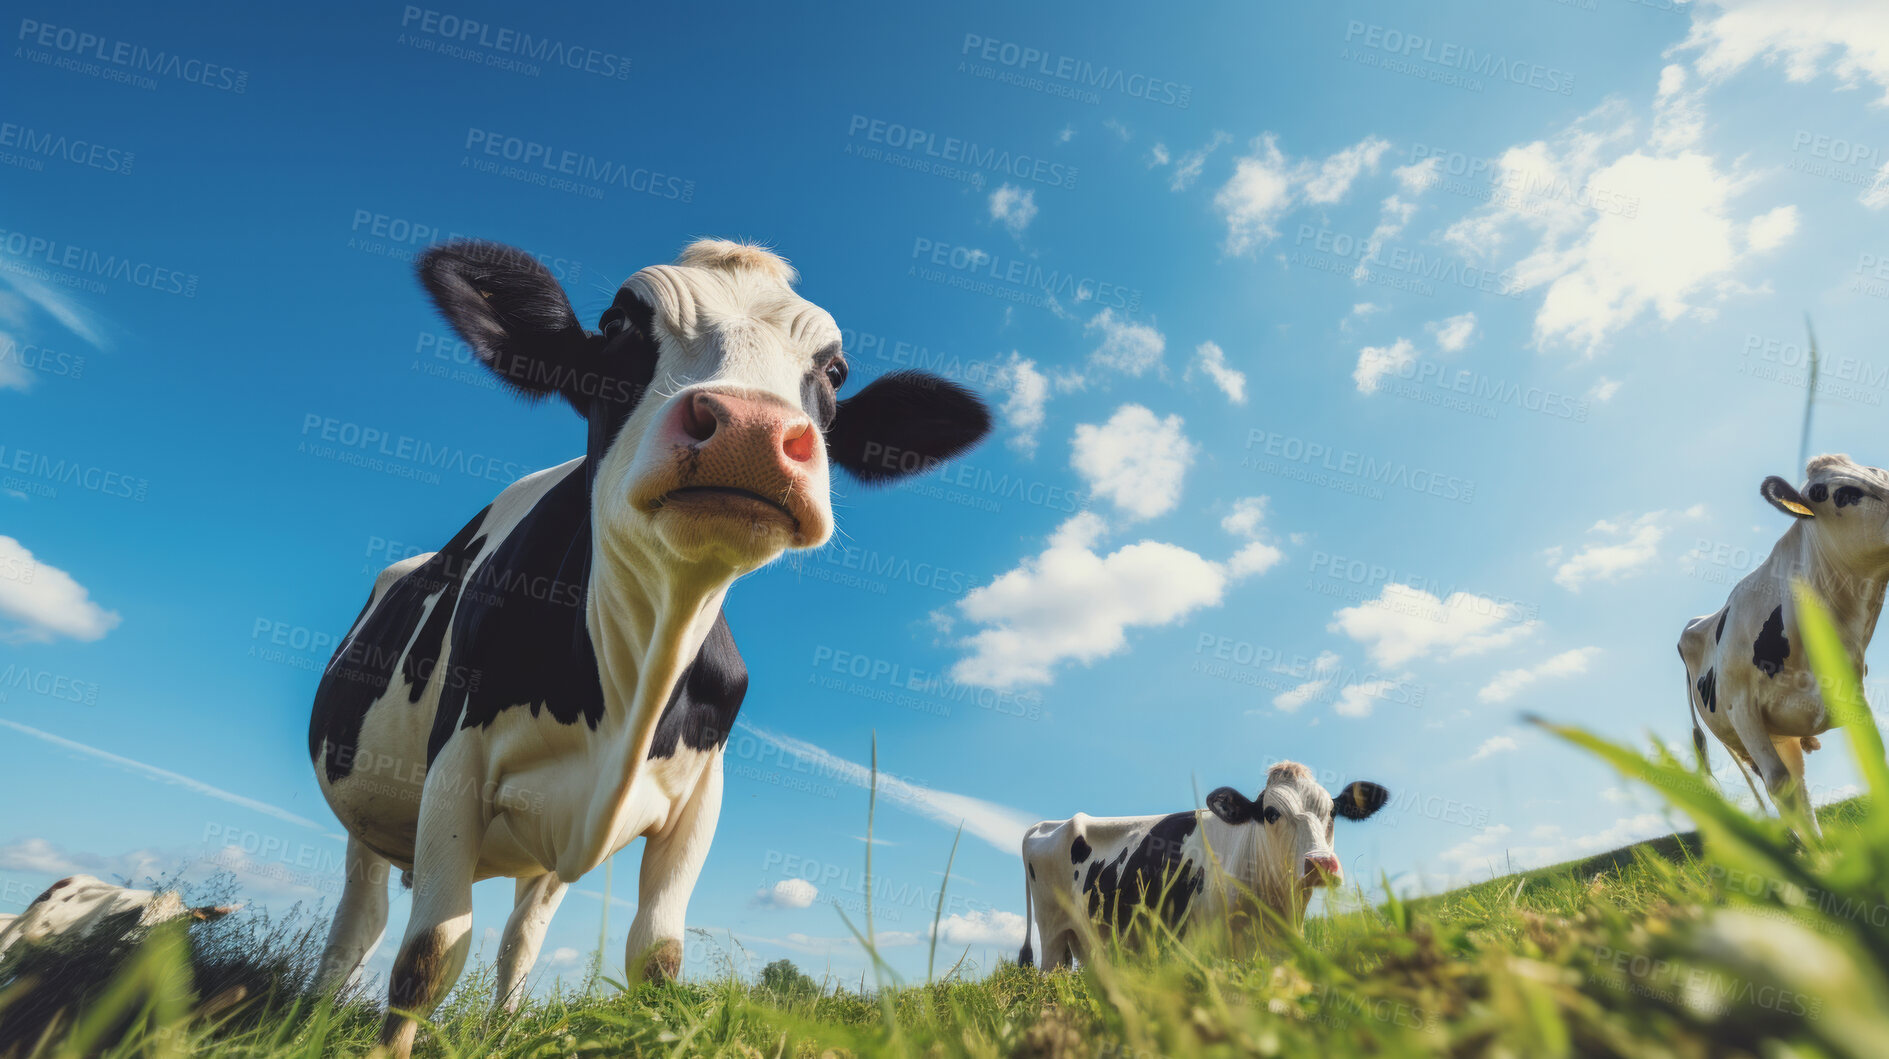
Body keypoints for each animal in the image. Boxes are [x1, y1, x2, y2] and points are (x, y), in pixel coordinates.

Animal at [306, 235, 989, 1049]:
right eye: (616, 325)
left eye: (834, 372)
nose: (750, 431)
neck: (639, 670)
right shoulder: (456, 765)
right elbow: (429, 953)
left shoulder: (700, 794)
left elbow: (656, 956)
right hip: (372, 815)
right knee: (361, 924)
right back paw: (308, 1015)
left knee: (520, 937)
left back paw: (502, 1030)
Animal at [1684, 453, 1889, 834]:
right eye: (1839, 493)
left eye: (1882, 474)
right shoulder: (1741, 708)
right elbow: (1779, 786)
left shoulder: (1852, 696)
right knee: (1784, 787)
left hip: (1784, 737)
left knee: (1802, 788)